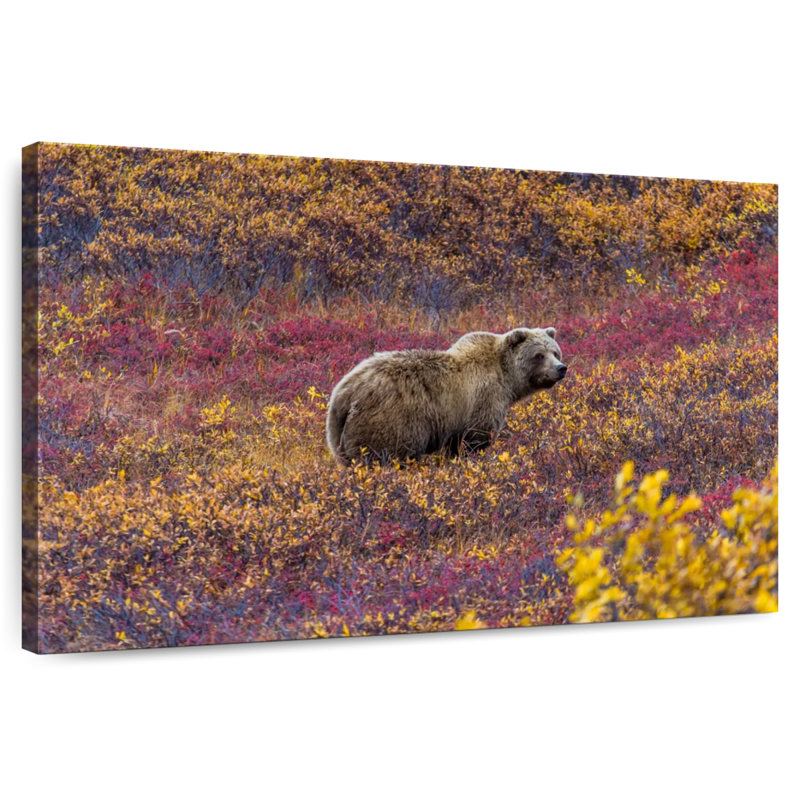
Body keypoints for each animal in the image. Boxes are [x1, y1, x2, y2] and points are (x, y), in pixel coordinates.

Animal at [326, 327, 567, 463]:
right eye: (539, 355)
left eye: (555, 352)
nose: (561, 368)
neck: (506, 378)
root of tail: (344, 393)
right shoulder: (483, 400)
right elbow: (474, 440)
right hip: (389, 421)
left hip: (338, 435)